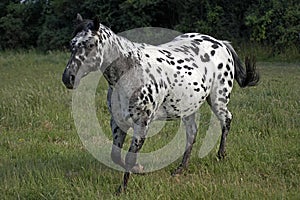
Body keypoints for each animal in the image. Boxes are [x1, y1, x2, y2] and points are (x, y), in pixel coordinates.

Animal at [61, 14, 258, 194]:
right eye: (72, 44)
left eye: (90, 44)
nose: (68, 78)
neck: (130, 72)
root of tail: (221, 43)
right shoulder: (117, 123)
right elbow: (116, 156)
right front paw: (139, 170)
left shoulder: (141, 124)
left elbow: (129, 158)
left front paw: (123, 188)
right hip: (189, 108)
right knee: (192, 134)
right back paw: (180, 169)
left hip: (218, 99)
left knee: (226, 120)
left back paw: (221, 155)